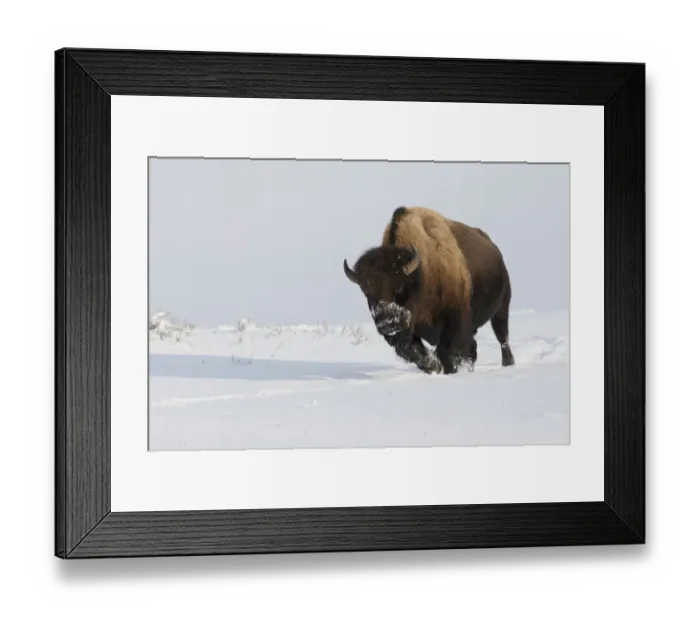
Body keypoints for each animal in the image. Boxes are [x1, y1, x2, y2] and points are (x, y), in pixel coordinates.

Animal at [343, 206, 515, 375]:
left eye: (400, 286)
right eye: (366, 292)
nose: (387, 324)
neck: (422, 274)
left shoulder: (456, 318)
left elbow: (446, 351)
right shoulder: (409, 330)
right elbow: (414, 352)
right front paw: (435, 367)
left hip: (502, 308)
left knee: (502, 337)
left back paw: (508, 363)